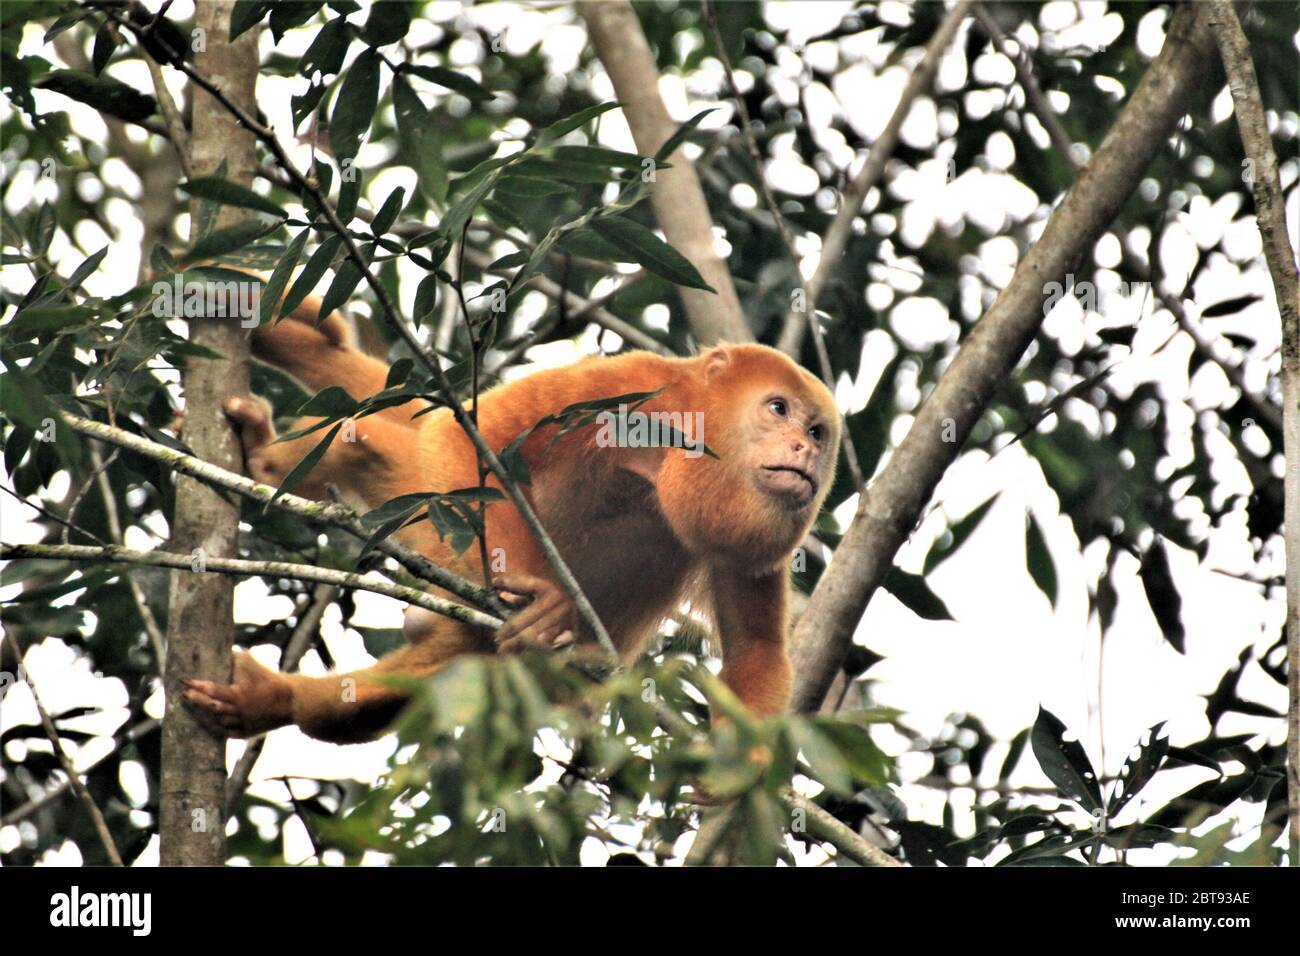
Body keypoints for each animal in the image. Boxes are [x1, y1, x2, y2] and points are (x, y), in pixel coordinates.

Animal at [183, 287, 837, 743]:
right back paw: (267, 463)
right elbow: (476, 436)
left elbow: (754, 648)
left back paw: (278, 701)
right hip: (427, 509)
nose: (806, 451)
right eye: (778, 409)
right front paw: (544, 602)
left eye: (817, 431)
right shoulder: (634, 385)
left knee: (401, 693)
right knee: (365, 439)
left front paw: (742, 779)